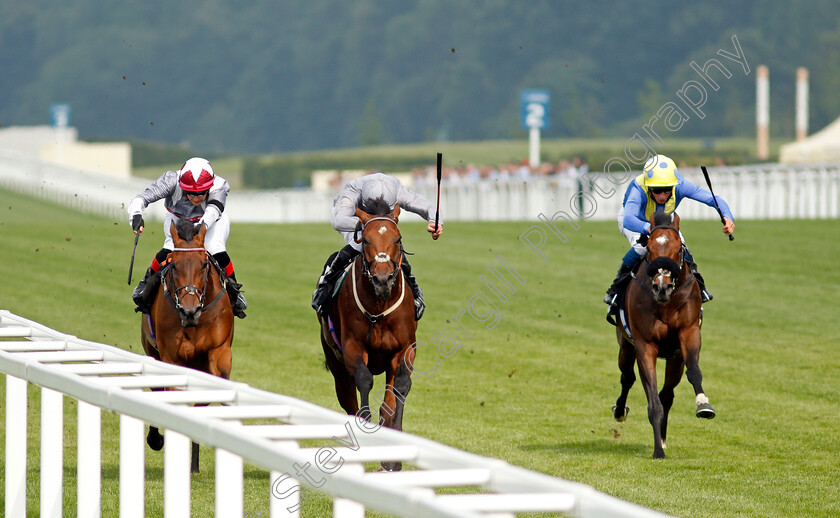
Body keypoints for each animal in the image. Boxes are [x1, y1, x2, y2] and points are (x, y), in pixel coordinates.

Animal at [140, 219, 233, 476]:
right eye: (173, 266)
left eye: (204, 265)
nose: (189, 311)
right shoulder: (171, 357)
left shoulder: (219, 352)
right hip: (152, 351)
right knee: (157, 391)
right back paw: (156, 439)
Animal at [318, 205, 416, 474]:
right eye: (366, 240)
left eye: (398, 239)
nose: (382, 279)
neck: (379, 305)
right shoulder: (353, 347)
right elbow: (364, 380)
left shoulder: (405, 348)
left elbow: (400, 388)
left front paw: (394, 459)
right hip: (336, 364)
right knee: (348, 400)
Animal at [612, 213, 716, 462]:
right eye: (649, 249)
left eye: (679, 249)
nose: (662, 287)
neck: (665, 303)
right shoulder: (644, 345)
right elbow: (653, 401)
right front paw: (657, 451)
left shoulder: (688, 334)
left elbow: (694, 371)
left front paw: (703, 405)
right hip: (625, 346)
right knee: (627, 377)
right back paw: (620, 411)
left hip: (674, 359)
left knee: (667, 394)